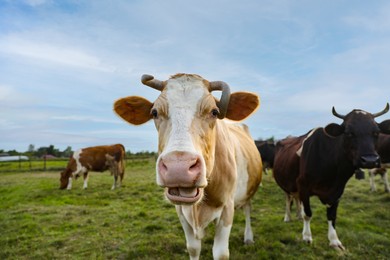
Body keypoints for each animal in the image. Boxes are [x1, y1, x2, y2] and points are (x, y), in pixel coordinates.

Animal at [114, 73, 264, 260]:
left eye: (214, 112)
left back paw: (248, 237)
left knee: (248, 208)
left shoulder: (227, 207)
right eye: (154, 112)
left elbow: (220, 253)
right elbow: (193, 248)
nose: (178, 168)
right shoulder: (181, 210)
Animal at [272, 104, 390, 250]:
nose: (370, 160)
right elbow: (308, 213)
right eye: (349, 132)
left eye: (376, 132)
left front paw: (334, 241)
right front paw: (307, 237)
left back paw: (298, 215)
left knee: (296, 199)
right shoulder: (303, 185)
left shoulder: (337, 190)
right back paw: (288, 217)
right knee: (289, 199)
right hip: (286, 184)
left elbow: (332, 216)